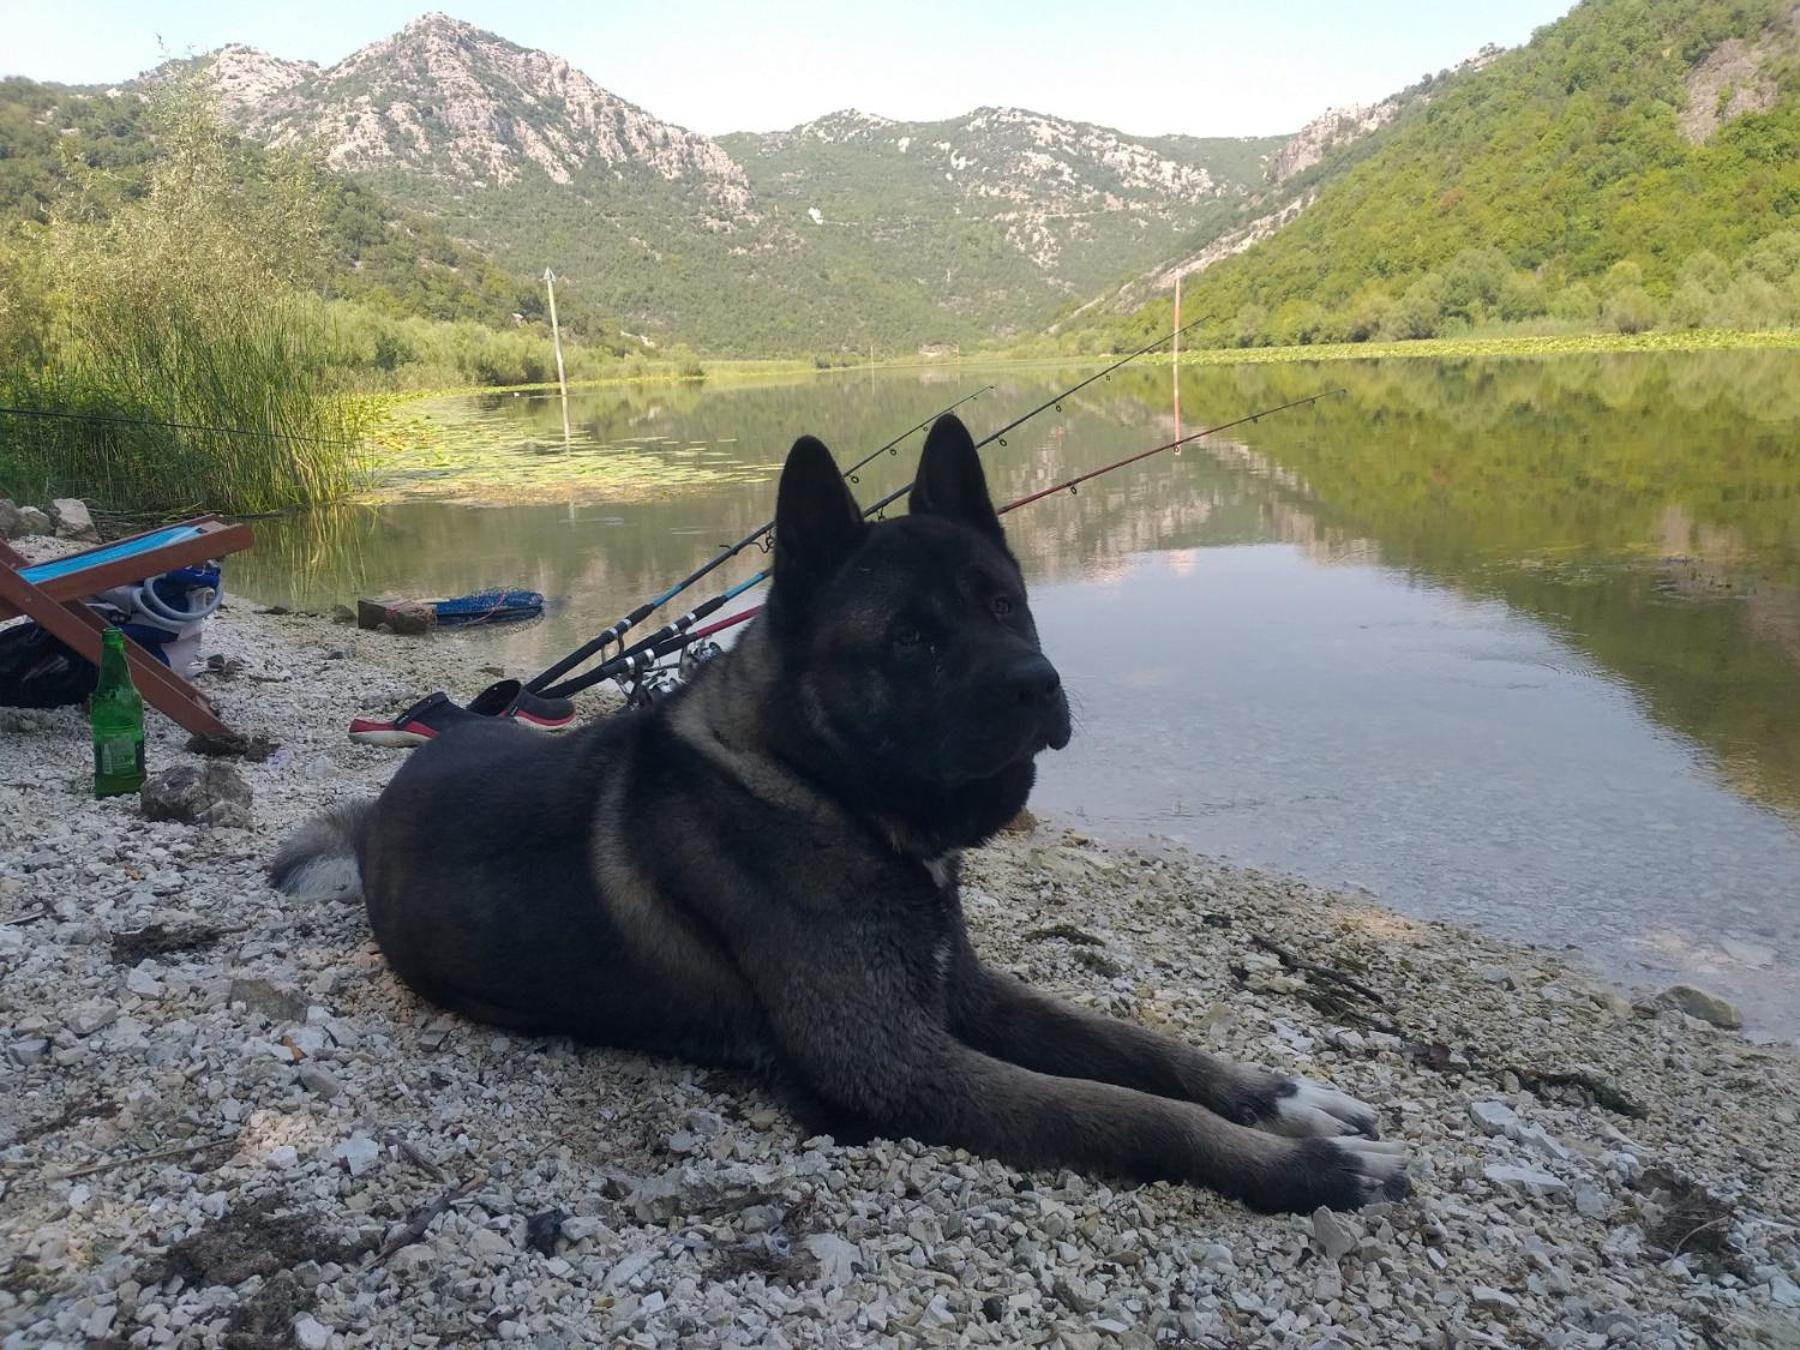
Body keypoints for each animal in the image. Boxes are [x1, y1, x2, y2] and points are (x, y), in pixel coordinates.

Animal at [277, 415, 1404, 1216]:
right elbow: (1131, 1111)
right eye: (910, 637)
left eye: (1005, 601)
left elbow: (1139, 1049)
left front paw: (1283, 1102)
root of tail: (386, 803)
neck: (824, 790)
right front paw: (1306, 1168)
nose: (1040, 686)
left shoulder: (966, 996)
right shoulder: (902, 1065)